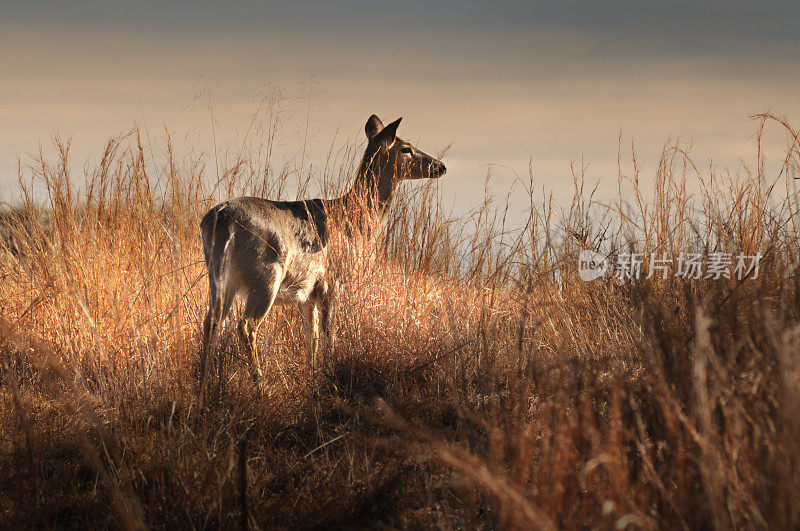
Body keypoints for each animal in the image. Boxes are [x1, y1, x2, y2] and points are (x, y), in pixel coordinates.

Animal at [198, 115, 446, 400]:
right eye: (406, 148)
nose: (440, 166)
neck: (353, 220)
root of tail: (221, 218)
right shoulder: (332, 281)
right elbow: (330, 333)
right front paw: (330, 378)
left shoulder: (308, 292)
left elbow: (312, 337)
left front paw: (313, 378)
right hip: (265, 273)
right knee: (247, 325)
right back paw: (260, 385)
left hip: (219, 278)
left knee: (212, 321)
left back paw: (202, 388)